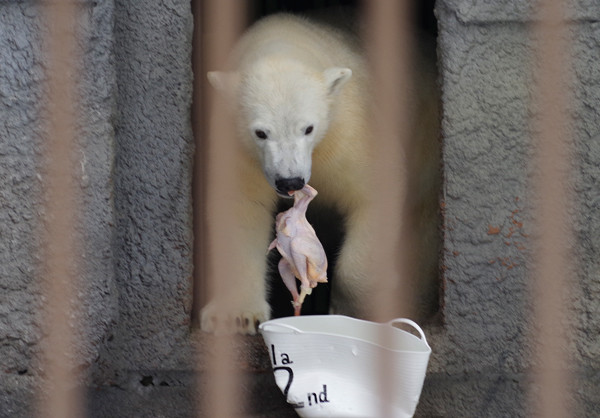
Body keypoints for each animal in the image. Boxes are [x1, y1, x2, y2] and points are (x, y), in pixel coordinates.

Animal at [202, 12, 440, 334]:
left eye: (308, 128)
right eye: (261, 132)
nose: (290, 181)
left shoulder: (349, 129)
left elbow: (375, 191)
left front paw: (353, 308)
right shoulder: (239, 148)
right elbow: (240, 208)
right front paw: (235, 316)